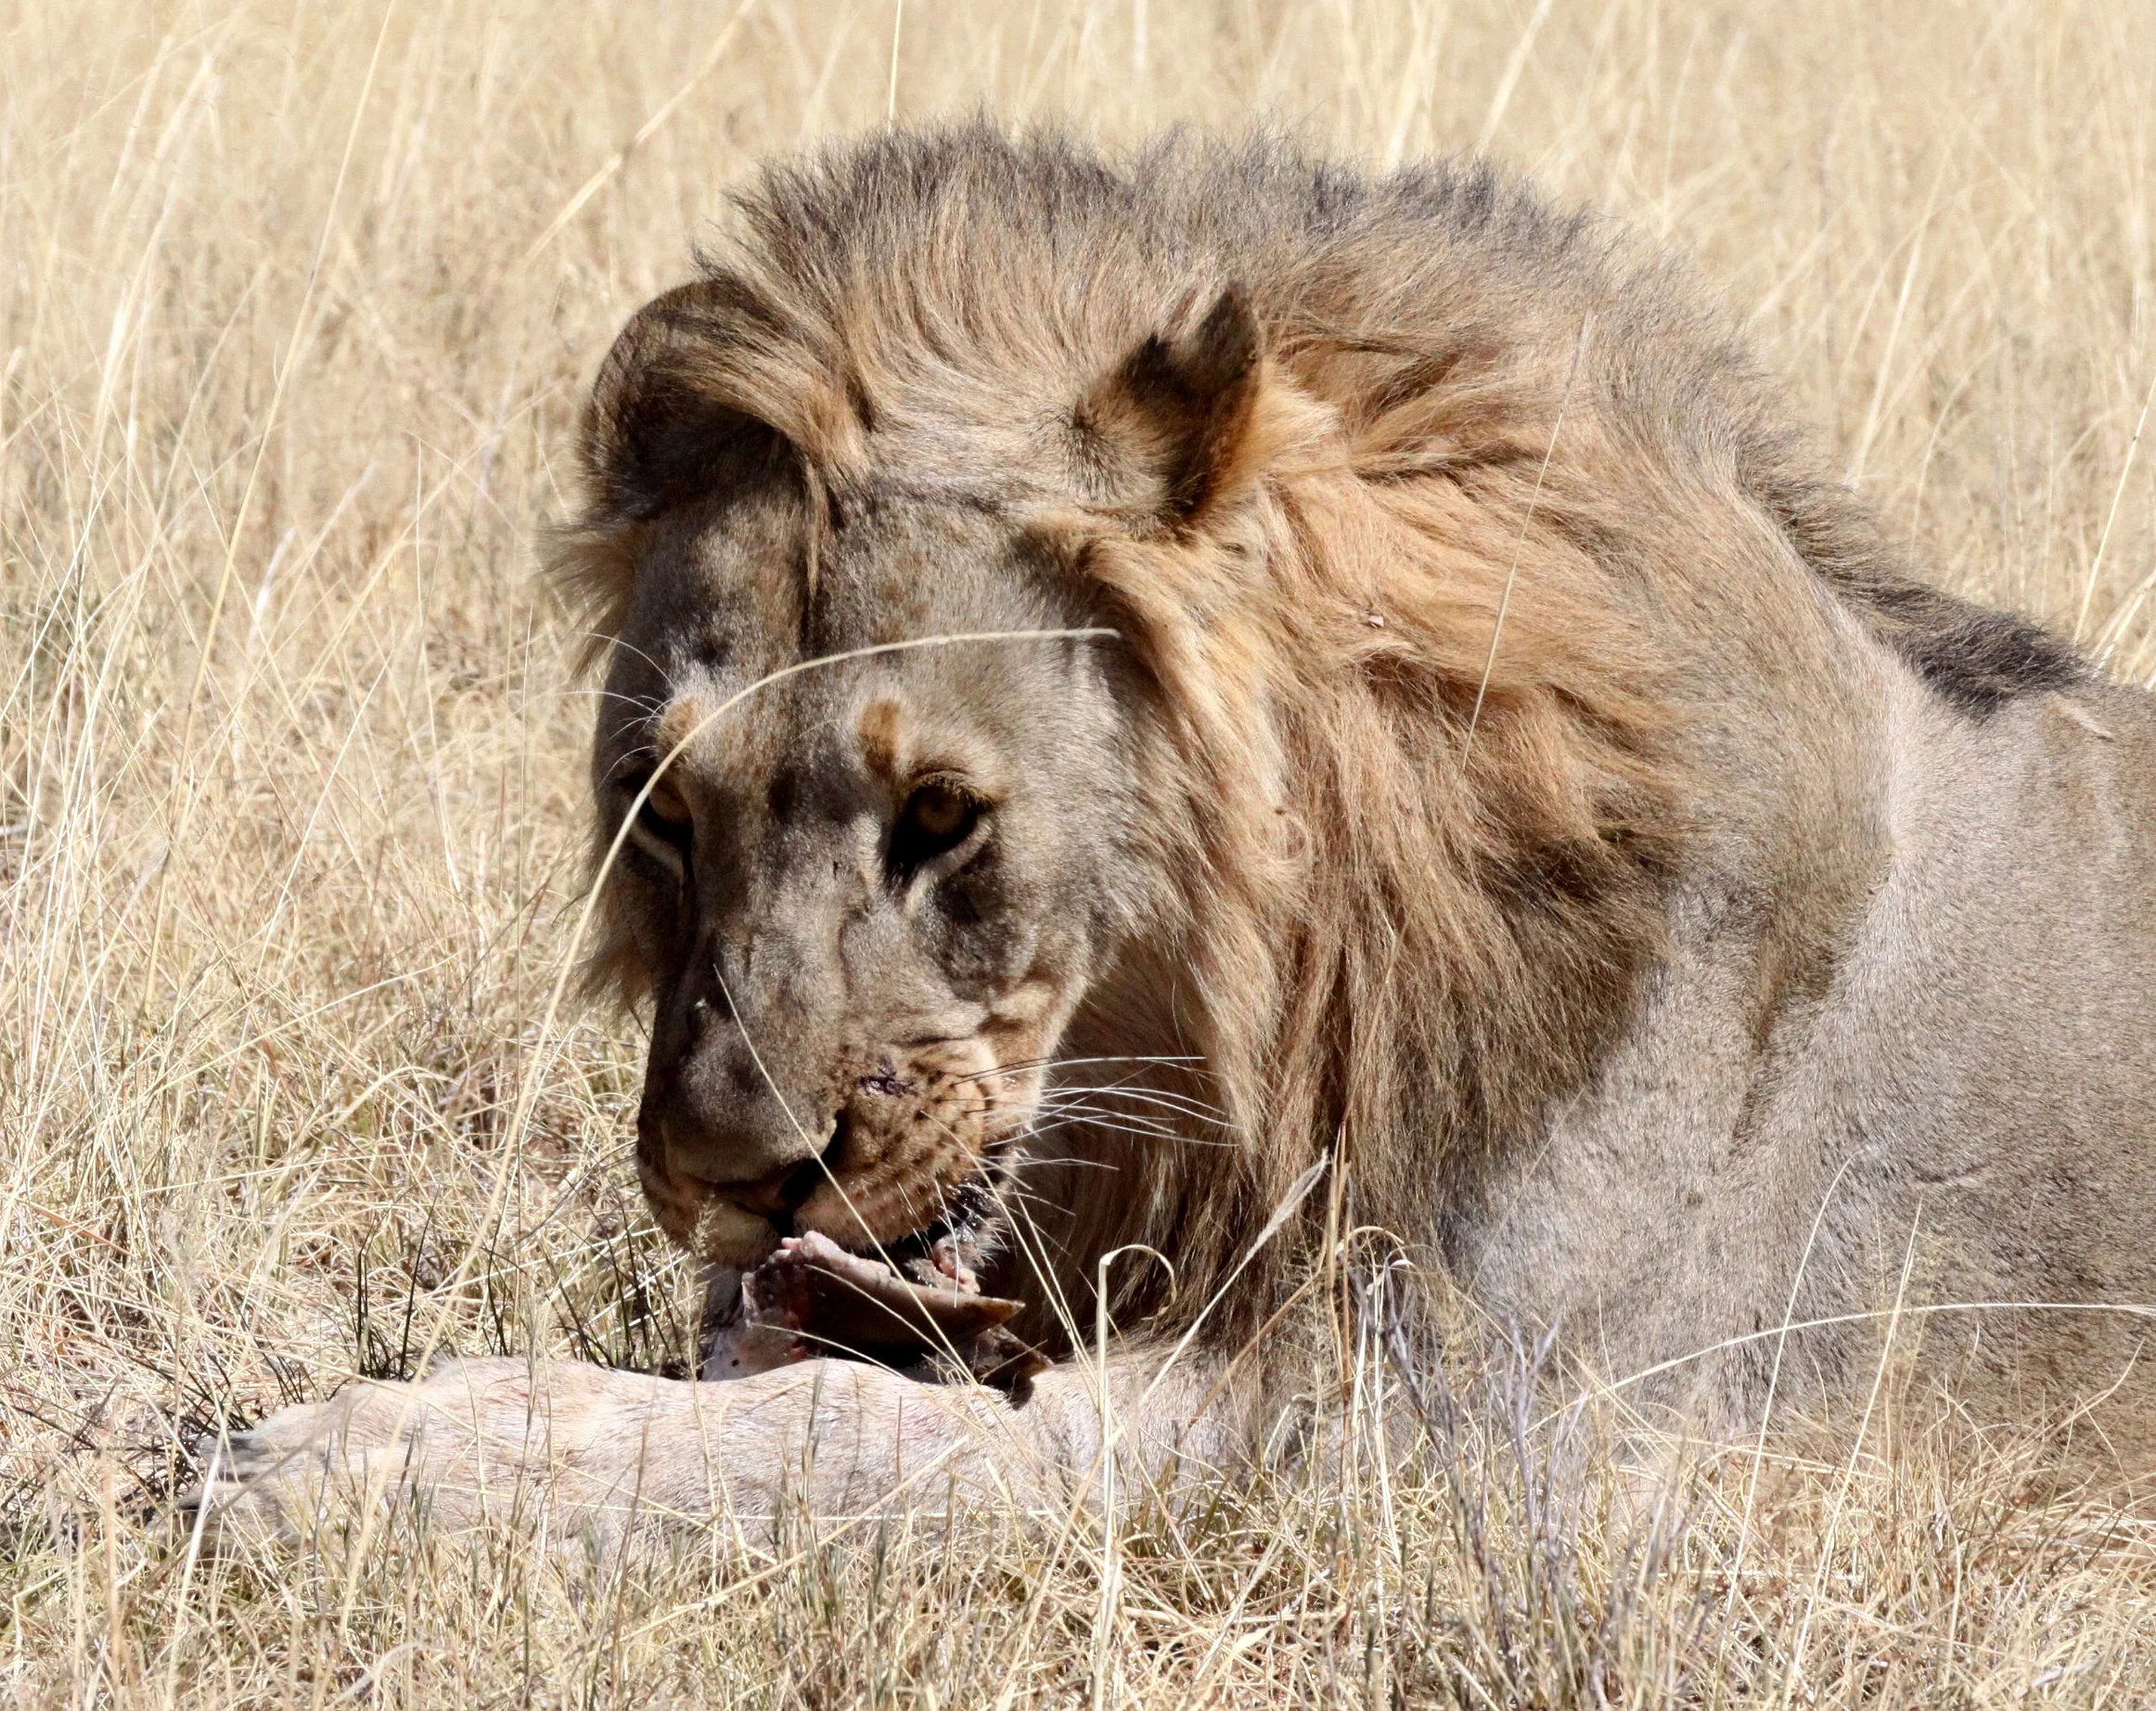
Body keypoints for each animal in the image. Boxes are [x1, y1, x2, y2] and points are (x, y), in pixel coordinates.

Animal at [195, 125, 2156, 1538]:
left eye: (940, 816)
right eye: (663, 813)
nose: (721, 1178)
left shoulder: (1401, 1432)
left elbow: (826, 1437)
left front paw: (337, 1456)